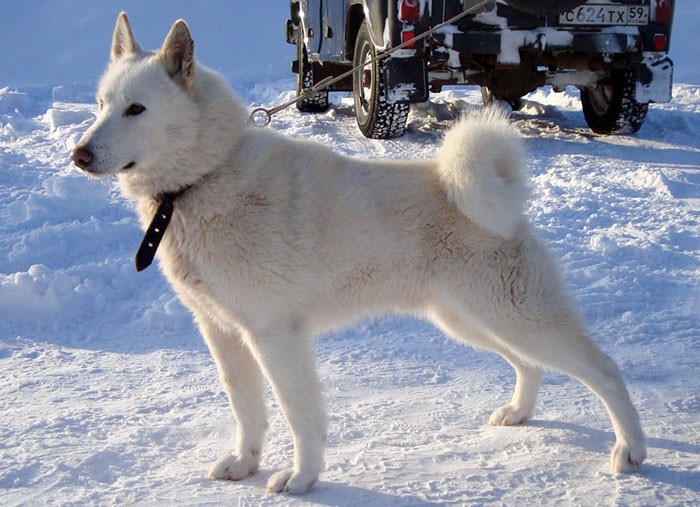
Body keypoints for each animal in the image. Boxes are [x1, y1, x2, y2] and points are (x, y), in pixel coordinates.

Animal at [72, 13, 646, 494]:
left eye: (136, 109)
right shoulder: (224, 334)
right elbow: (247, 410)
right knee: (529, 366)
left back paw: (631, 449)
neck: (205, 178)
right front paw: (245, 464)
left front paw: (302, 478)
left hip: (514, 316)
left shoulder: (275, 336)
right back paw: (519, 414)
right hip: (470, 319)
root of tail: (489, 189)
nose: (78, 155)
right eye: (100, 106)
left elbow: (298, 415)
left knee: (605, 370)